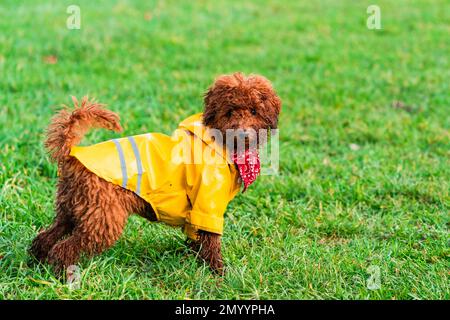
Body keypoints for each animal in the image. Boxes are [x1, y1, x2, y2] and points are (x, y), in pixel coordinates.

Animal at [29, 73, 280, 276]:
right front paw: (218, 273)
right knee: (65, 248)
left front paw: (194, 261)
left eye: (254, 111)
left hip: (74, 208)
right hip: (103, 218)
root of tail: (73, 153)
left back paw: (36, 263)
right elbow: (211, 241)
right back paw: (63, 273)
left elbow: (197, 239)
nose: (243, 134)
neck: (218, 142)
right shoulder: (207, 204)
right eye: (229, 112)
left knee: (48, 235)